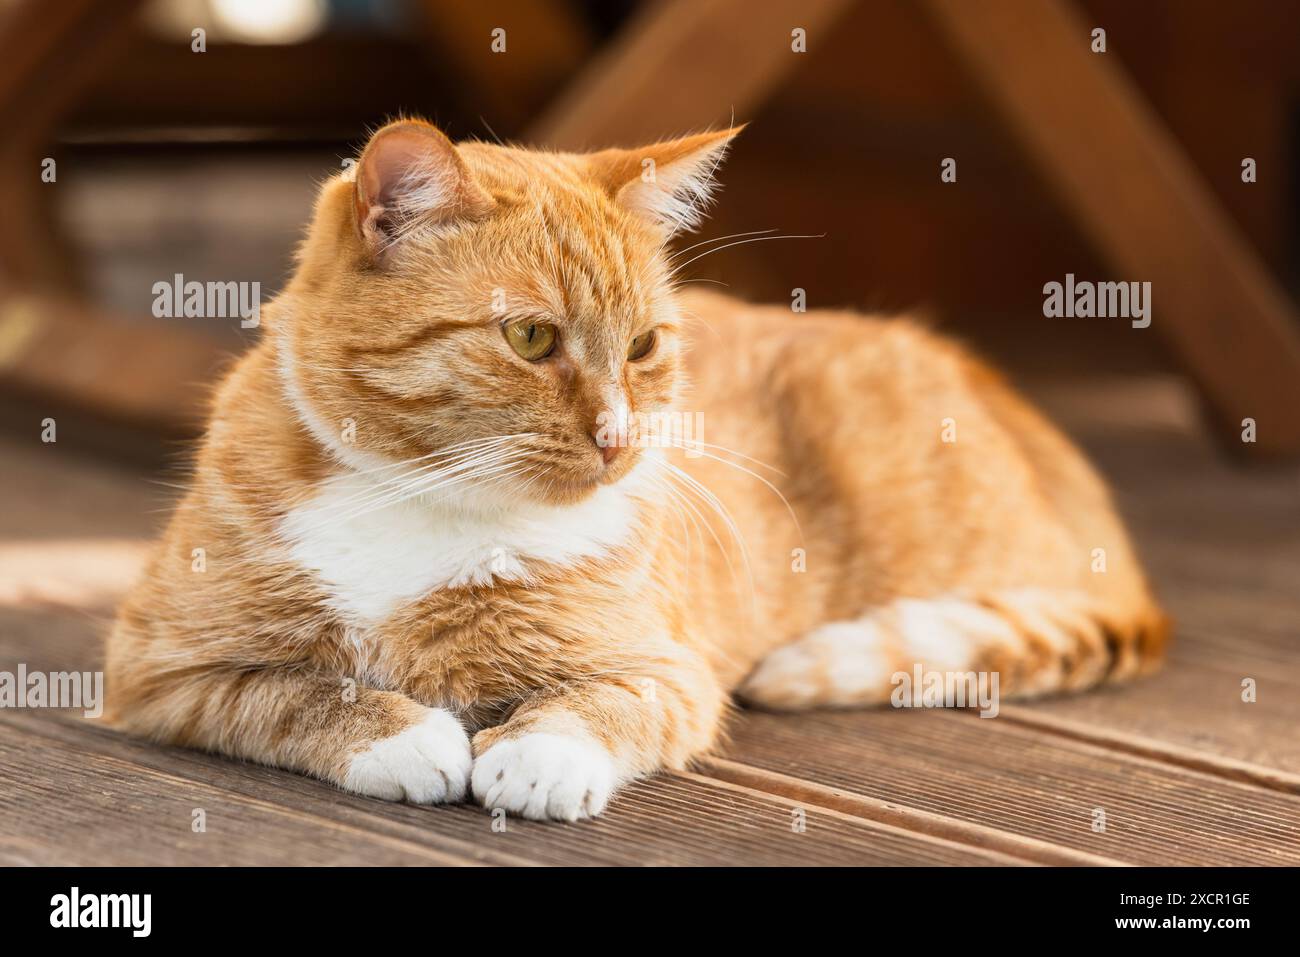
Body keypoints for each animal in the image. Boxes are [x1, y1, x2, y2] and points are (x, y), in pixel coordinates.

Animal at [109, 119, 1170, 821]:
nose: (619, 438)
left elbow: (602, 699)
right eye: (531, 338)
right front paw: (400, 733)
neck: (428, 498)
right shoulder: (159, 665)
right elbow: (294, 689)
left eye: (646, 344)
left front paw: (539, 753)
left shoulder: (669, 668)